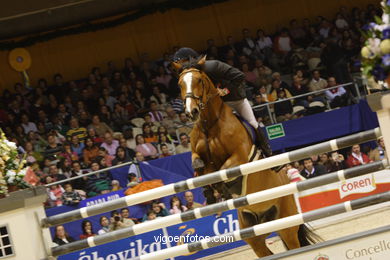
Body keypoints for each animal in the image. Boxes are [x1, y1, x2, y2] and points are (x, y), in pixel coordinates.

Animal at [174, 55, 316, 256]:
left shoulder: (239, 157)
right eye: (180, 84)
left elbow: (225, 171)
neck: (210, 124)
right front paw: (210, 194)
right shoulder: (199, 157)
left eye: (199, 80)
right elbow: (199, 168)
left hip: (287, 225)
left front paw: (223, 190)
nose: (191, 111)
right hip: (253, 235)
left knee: (294, 244)